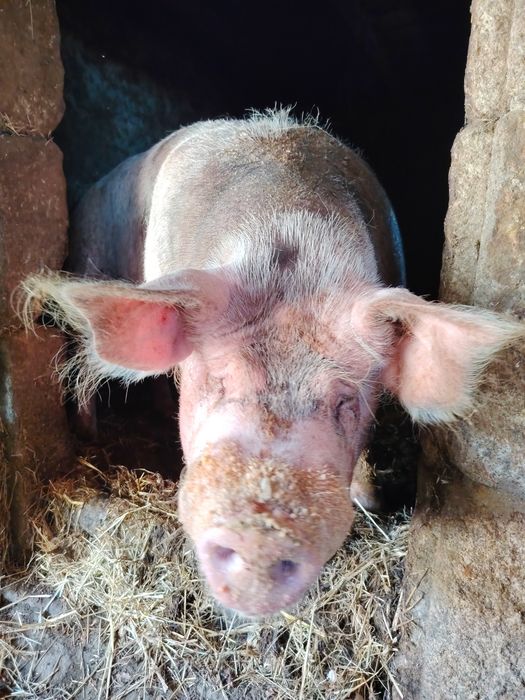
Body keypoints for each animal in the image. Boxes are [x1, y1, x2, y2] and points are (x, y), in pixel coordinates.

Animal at [23, 110, 523, 616]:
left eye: (345, 401)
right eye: (218, 380)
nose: (260, 537)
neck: (289, 234)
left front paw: (369, 501)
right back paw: (88, 433)